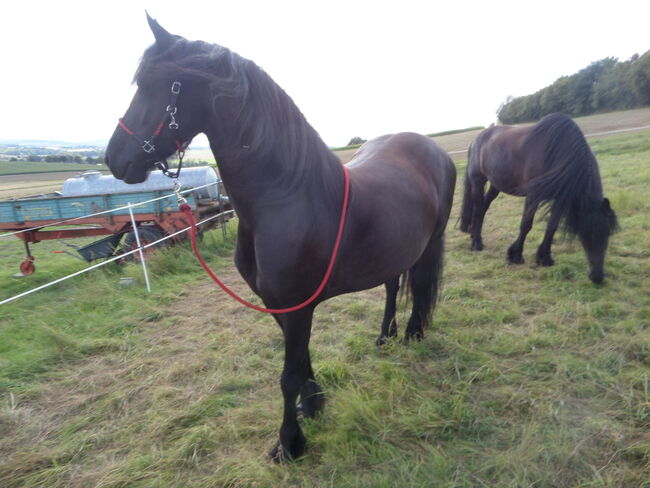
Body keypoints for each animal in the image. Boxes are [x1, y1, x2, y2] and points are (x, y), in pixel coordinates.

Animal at [104, 14, 454, 462]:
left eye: (157, 84)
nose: (115, 159)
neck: (285, 196)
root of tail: (432, 149)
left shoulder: (297, 304)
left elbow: (287, 375)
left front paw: (289, 443)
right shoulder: (277, 303)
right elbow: (300, 361)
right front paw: (314, 404)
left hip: (430, 243)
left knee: (421, 284)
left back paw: (412, 333)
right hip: (394, 248)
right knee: (393, 284)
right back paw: (384, 336)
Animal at [458, 113, 616, 284]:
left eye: (608, 233)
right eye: (586, 233)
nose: (597, 277)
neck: (559, 153)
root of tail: (475, 140)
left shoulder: (559, 198)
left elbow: (552, 226)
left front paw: (544, 258)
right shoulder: (533, 195)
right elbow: (526, 225)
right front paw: (515, 255)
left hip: (496, 185)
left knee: (483, 209)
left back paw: (475, 237)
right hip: (478, 181)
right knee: (478, 209)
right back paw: (476, 244)